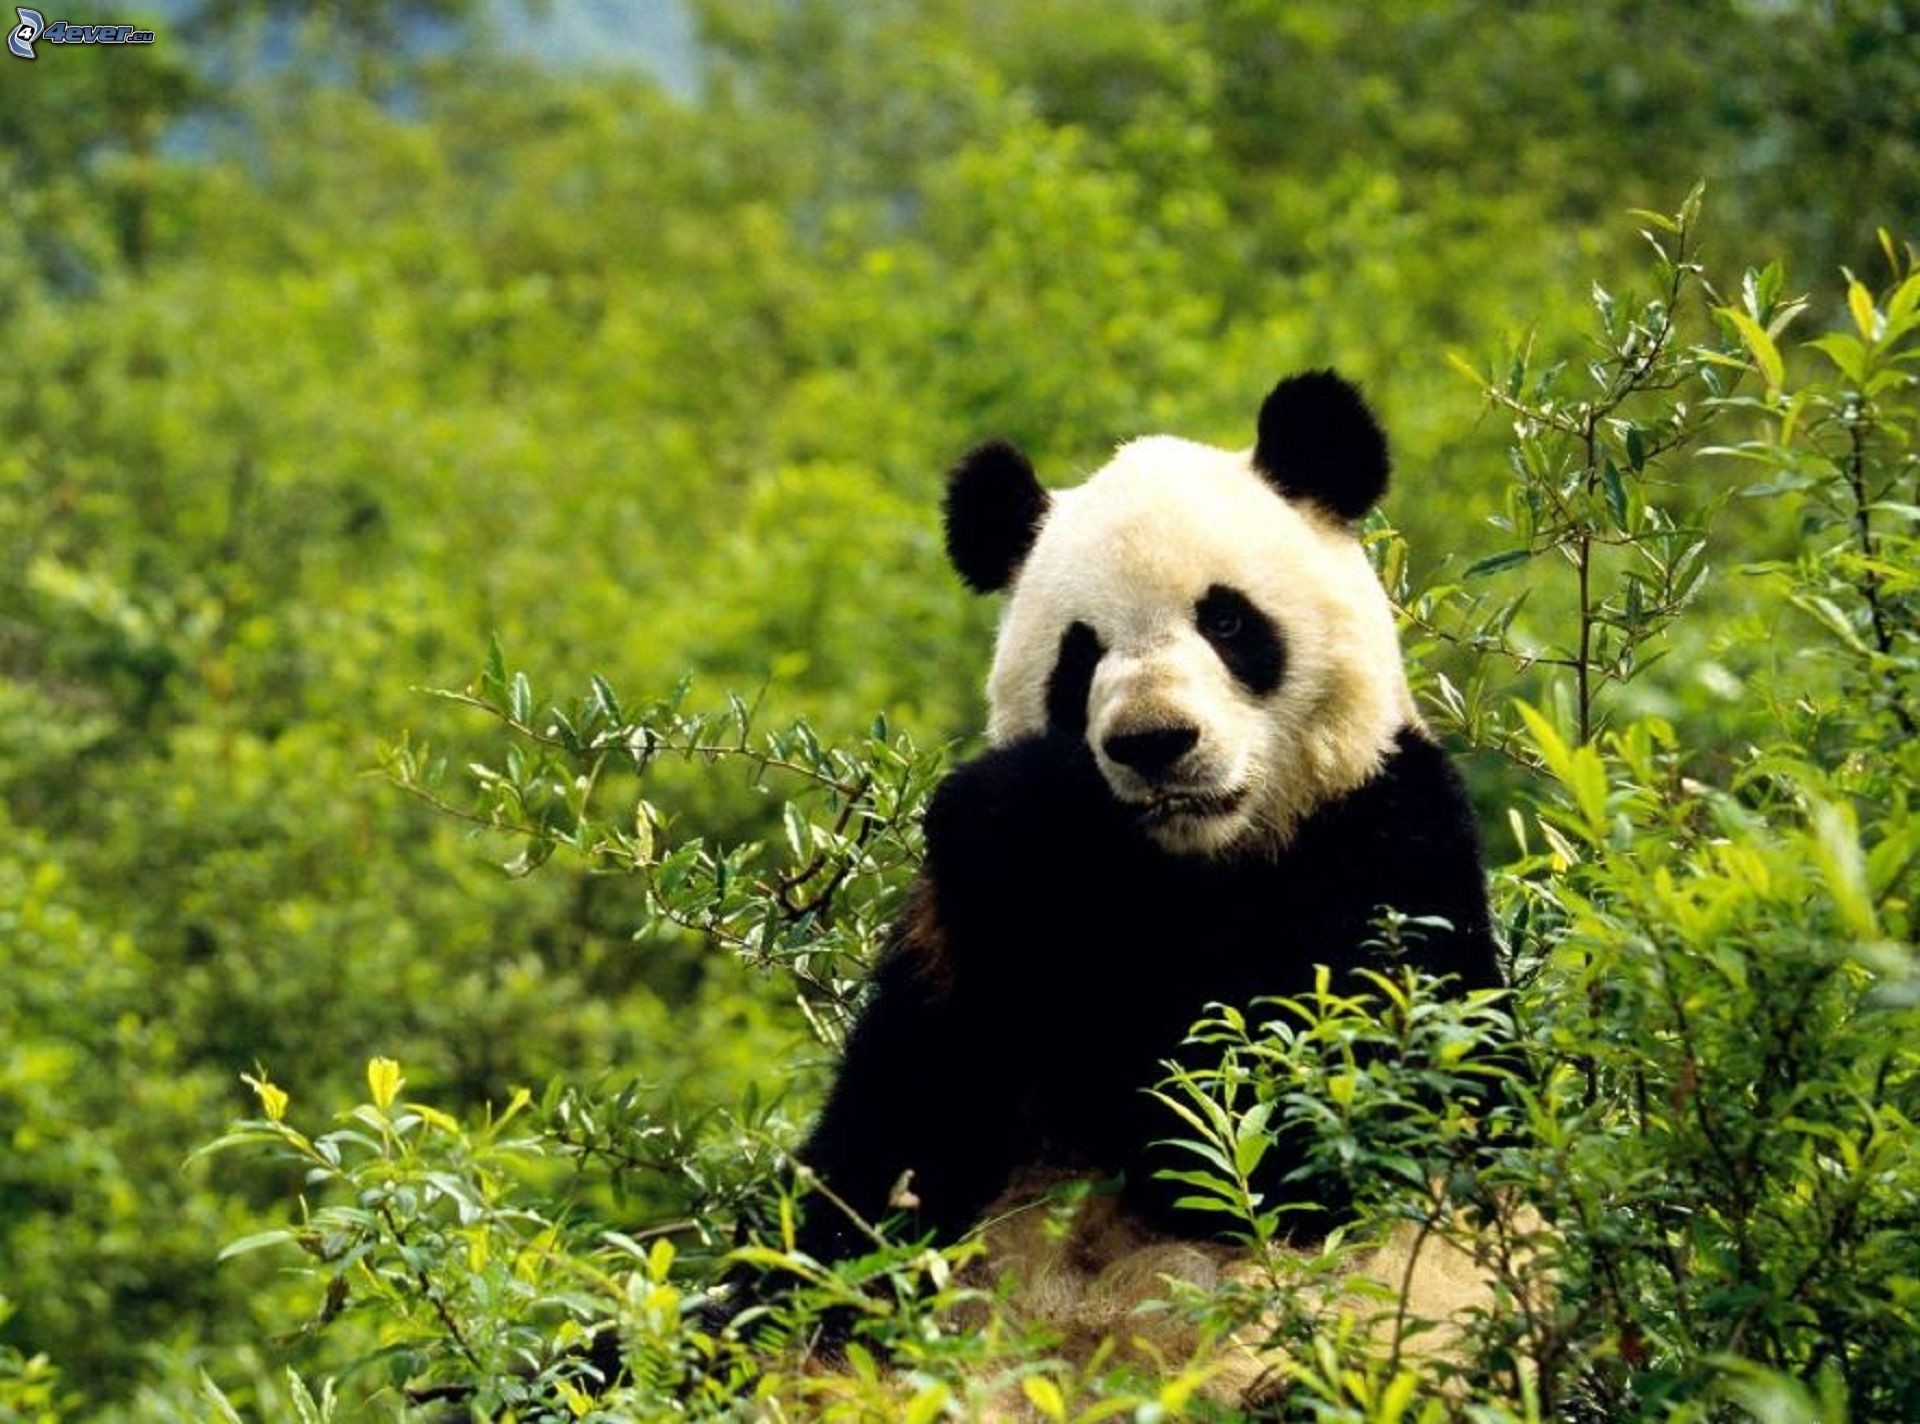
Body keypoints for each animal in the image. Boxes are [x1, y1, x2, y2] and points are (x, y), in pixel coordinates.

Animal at [763, 371, 1506, 1364]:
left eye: (1227, 620)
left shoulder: (1392, 843)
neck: (1188, 866)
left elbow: (1295, 1128)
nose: (1154, 743)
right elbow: (879, 1160)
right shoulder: (952, 975)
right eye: (1081, 654)